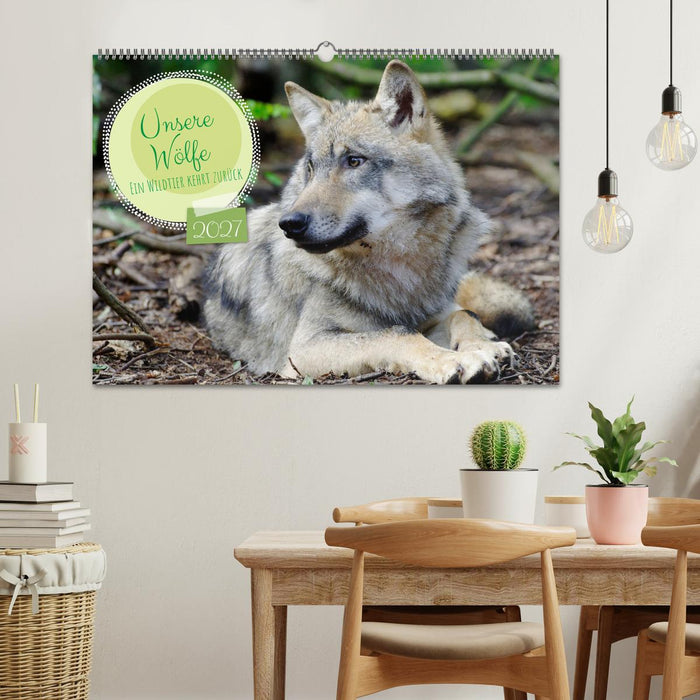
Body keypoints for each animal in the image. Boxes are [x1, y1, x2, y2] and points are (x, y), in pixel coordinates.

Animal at [203, 60, 534, 384]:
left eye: (354, 161)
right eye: (311, 168)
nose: (290, 223)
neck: (399, 269)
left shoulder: (435, 312)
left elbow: (463, 314)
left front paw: (484, 346)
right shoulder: (304, 349)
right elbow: (398, 334)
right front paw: (455, 360)